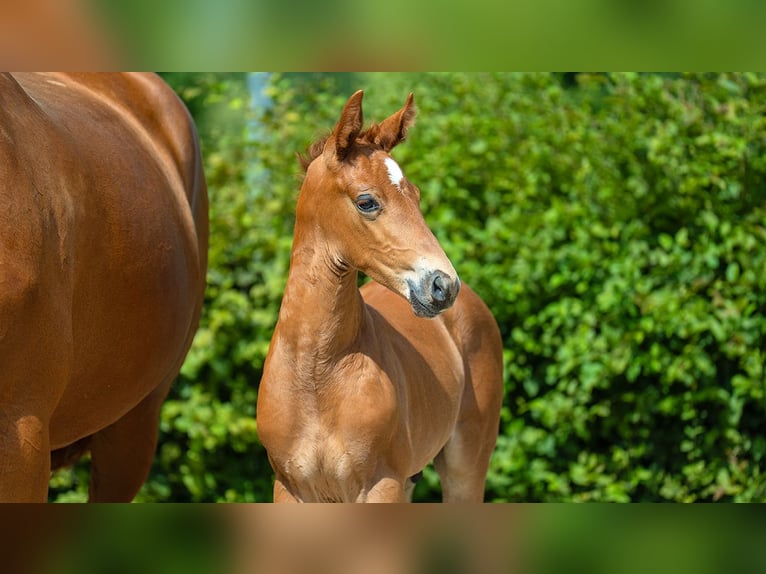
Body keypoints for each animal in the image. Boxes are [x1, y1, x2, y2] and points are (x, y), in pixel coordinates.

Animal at [258, 91, 508, 504]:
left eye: (417, 197)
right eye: (366, 202)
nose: (443, 285)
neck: (316, 373)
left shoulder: (380, 484)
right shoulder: (290, 490)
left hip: (465, 465)